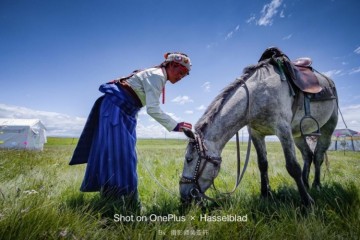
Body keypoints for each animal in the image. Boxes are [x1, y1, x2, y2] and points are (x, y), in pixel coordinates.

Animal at [179, 48, 338, 206]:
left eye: (189, 159)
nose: (184, 197)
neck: (257, 95)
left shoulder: (283, 130)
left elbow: (293, 167)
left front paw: (307, 202)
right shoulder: (256, 133)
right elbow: (263, 164)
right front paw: (265, 194)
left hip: (327, 128)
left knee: (318, 156)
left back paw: (316, 185)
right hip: (298, 134)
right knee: (307, 155)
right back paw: (305, 184)